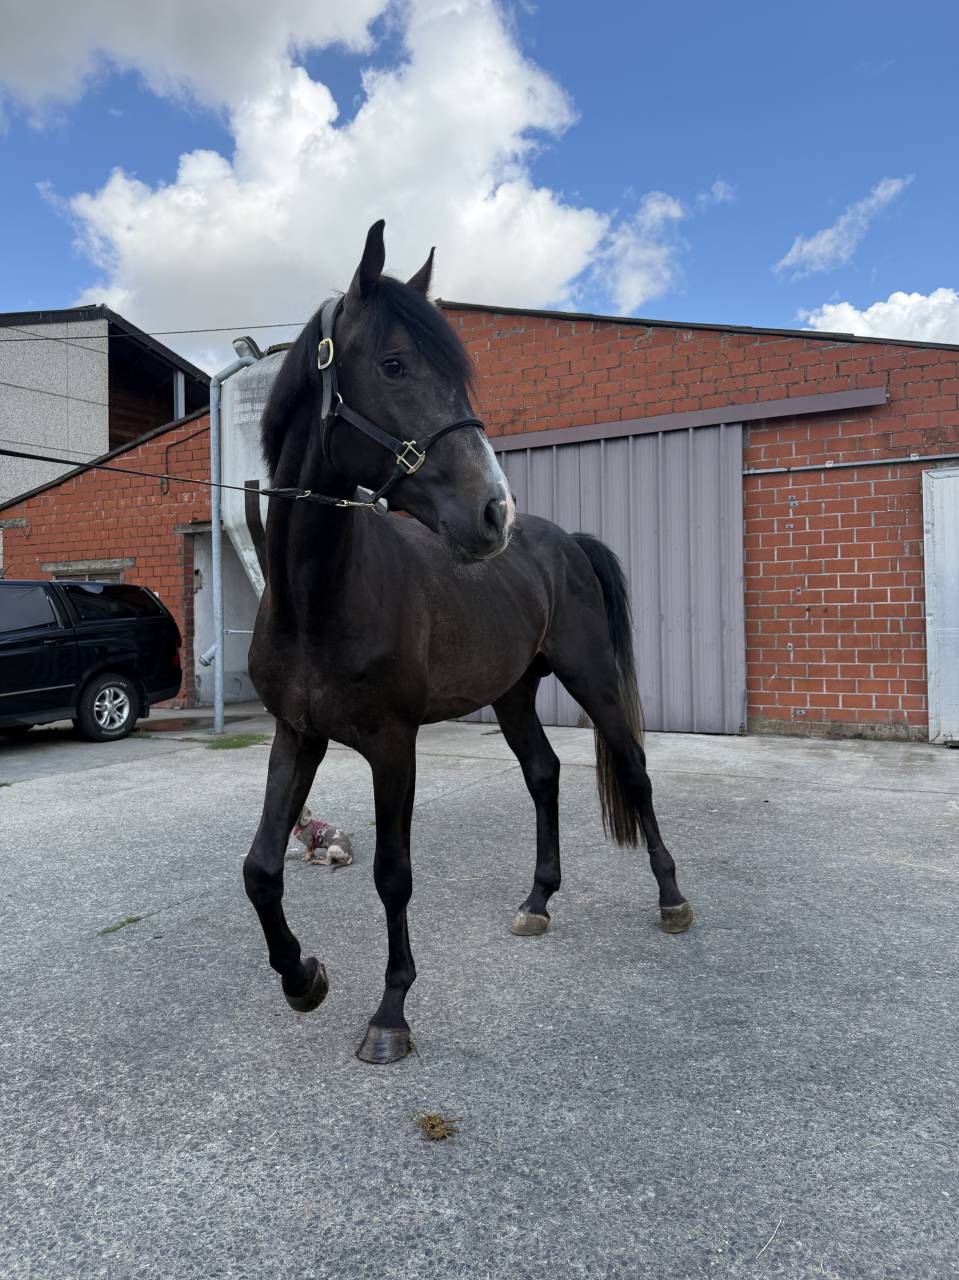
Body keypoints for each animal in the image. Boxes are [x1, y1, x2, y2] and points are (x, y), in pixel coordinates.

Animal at [245, 220, 692, 1065]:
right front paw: (301, 978)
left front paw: (390, 1012)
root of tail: (564, 541)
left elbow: (392, 873)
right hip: (514, 693)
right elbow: (260, 868)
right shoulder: (298, 733)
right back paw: (537, 901)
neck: (318, 598)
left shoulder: (393, 743)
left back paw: (673, 899)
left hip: (591, 678)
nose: (493, 512)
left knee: (635, 773)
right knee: (544, 775)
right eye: (393, 364)